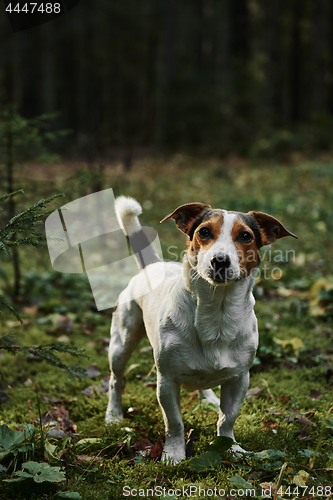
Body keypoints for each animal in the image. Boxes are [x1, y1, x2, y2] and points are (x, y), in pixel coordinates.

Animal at [104, 197, 296, 462]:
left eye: (245, 236)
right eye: (204, 232)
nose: (220, 261)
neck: (217, 312)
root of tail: (153, 266)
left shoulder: (239, 379)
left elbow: (228, 419)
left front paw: (230, 447)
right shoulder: (167, 381)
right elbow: (174, 422)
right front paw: (174, 454)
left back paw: (210, 399)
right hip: (122, 342)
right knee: (116, 380)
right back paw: (113, 415)